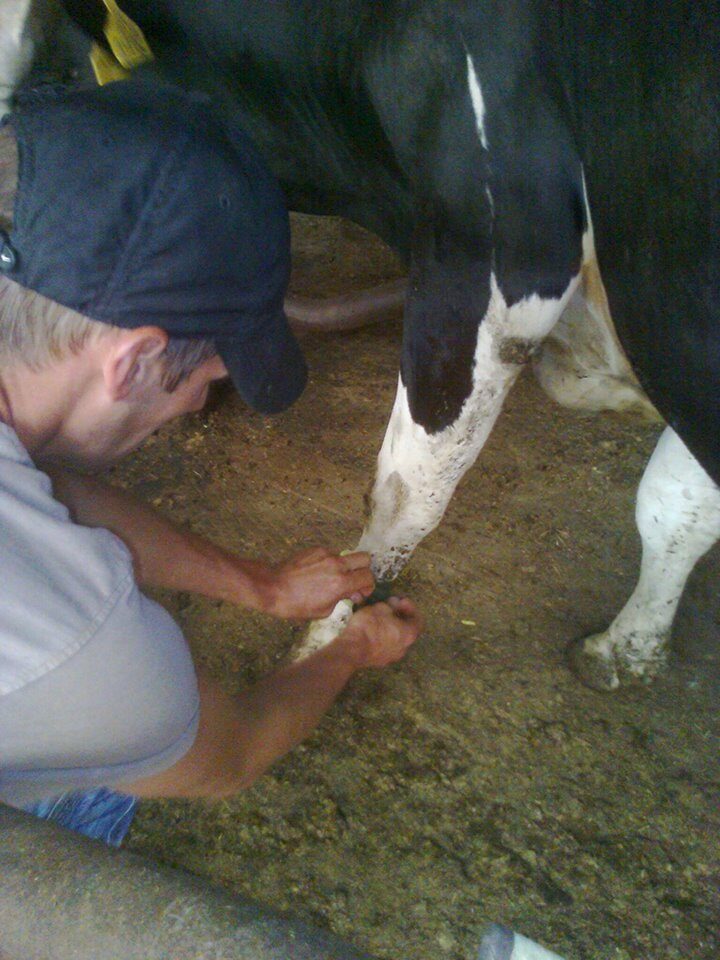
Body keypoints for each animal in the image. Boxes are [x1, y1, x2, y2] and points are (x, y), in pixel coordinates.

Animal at [3, 0, 719, 691]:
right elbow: (677, 505)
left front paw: (330, 634)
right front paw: (627, 648)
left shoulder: (495, 256)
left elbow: (404, 494)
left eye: (51, 79)